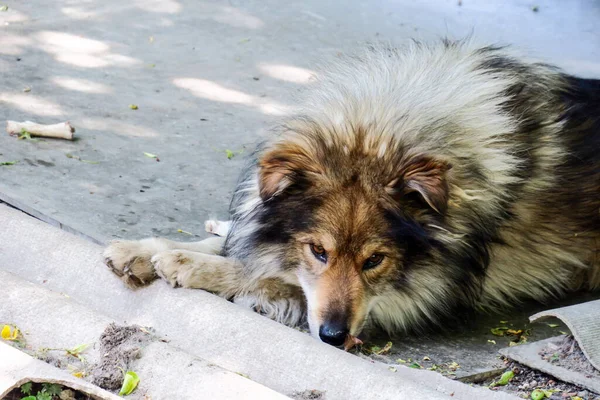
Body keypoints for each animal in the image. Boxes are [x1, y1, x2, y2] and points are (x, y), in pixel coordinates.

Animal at [104, 39, 600, 346]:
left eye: (375, 261)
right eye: (318, 251)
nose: (333, 338)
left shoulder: (417, 299)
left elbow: (268, 275)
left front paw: (189, 265)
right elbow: (238, 243)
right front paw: (142, 250)